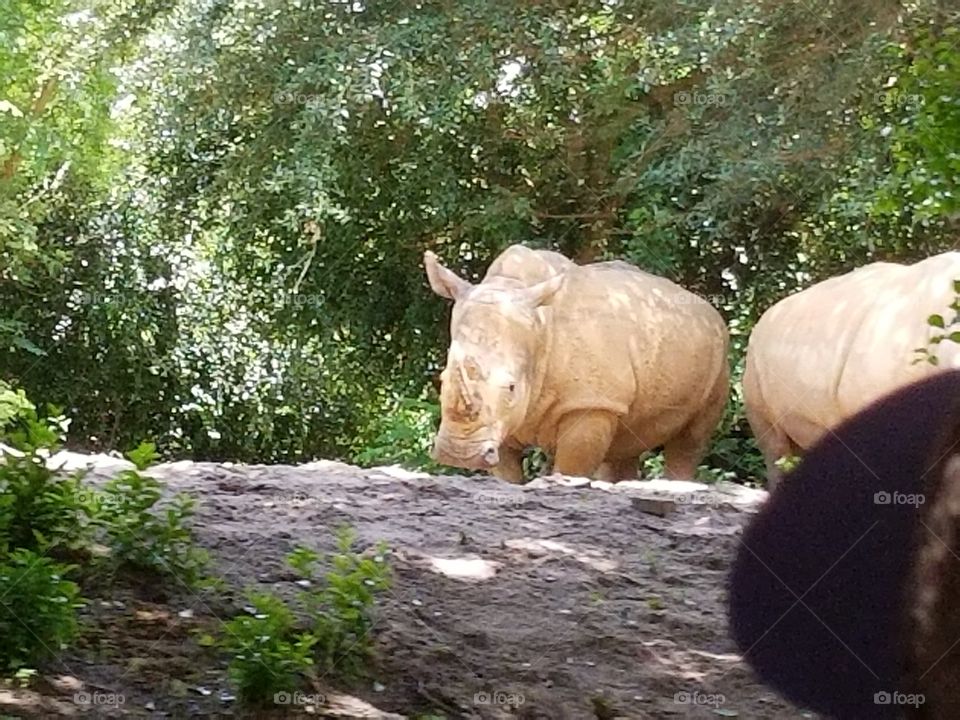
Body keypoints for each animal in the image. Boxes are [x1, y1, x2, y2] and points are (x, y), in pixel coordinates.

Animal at [420, 243, 728, 484]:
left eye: (511, 387)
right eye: (442, 381)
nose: (458, 454)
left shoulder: (590, 402)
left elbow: (571, 467)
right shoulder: (499, 424)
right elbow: (507, 474)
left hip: (718, 351)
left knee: (690, 440)